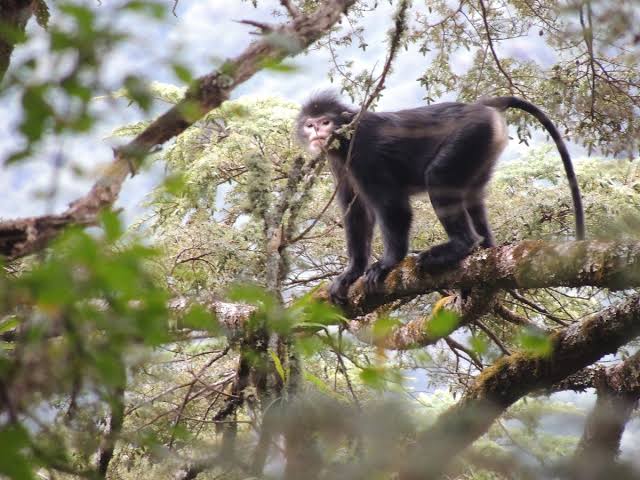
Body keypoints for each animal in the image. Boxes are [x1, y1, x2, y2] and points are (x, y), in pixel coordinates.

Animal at [296, 91, 584, 302]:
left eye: (325, 122)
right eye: (310, 124)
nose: (317, 132)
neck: (346, 139)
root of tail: (480, 106)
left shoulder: (365, 152)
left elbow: (393, 206)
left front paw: (388, 263)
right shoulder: (339, 163)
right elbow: (355, 211)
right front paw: (351, 273)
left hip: (471, 134)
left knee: (438, 176)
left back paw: (462, 246)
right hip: (482, 146)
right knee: (472, 196)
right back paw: (483, 255)